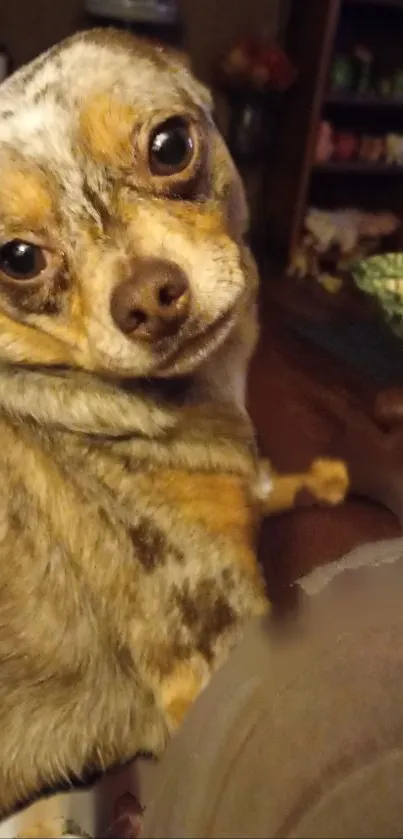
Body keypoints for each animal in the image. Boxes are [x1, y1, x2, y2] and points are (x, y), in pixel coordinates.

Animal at [0, 29, 348, 836]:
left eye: (170, 146)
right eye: (18, 259)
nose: (148, 299)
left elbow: (266, 486)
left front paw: (319, 480)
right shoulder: (215, 648)